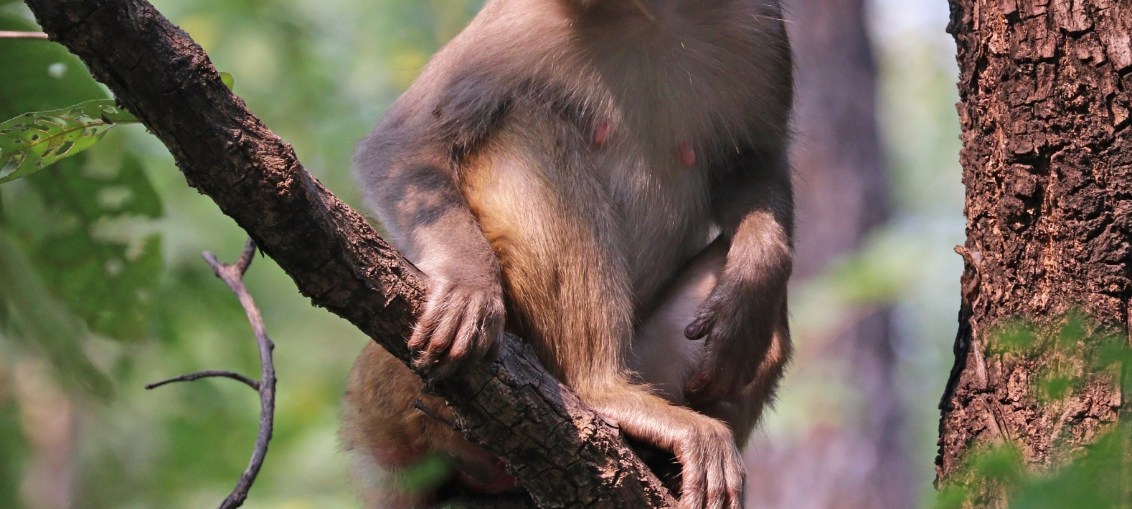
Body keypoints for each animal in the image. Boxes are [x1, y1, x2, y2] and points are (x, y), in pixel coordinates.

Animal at [344, 1, 796, 506]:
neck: (646, 15)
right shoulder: (518, 23)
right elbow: (404, 146)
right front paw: (468, 282)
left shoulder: (761, 29)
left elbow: (753, 161)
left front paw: (754, 277)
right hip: (402, 388)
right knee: (529, 125)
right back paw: (600, 390)